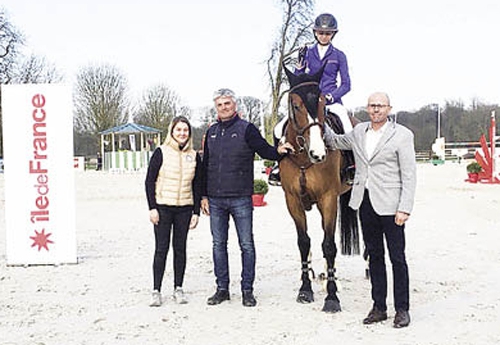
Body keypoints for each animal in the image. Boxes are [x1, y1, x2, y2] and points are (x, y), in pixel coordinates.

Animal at [282, 66, 360, 312]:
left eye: (322, 102)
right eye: (295, 105)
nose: (318, 153)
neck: (303, 157)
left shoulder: (328, 199)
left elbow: (329, 245)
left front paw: (332, 297)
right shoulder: (293, 201)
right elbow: (304, 243)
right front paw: (305, 289)